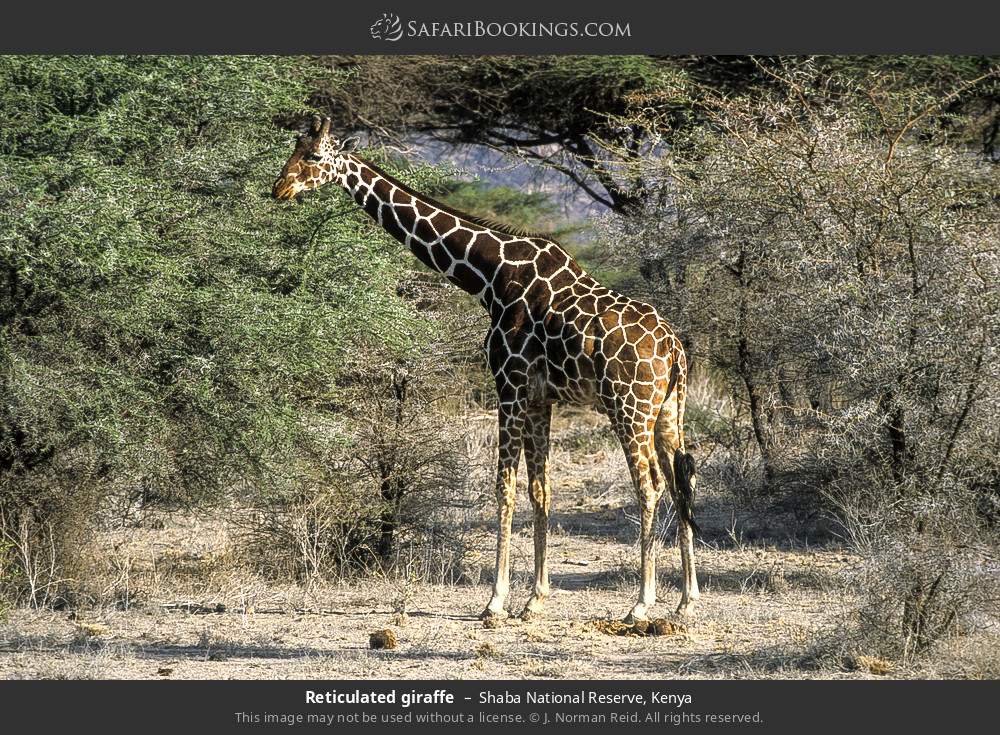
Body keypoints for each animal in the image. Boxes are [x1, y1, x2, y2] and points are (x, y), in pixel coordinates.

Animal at [273, 116, 700, 622]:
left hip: (628, 407)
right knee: (683, 478)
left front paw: (495, 602)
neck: (489, 276)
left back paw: (641, 603)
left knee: (651, 485)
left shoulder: (508, 385)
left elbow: (504, 488)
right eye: (293, 147)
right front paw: (534, 600)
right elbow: (540, 490)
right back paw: (686, 599)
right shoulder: (540, 398)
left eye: (315, 156)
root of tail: (674, 347)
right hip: (668, 411)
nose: (279, 188)